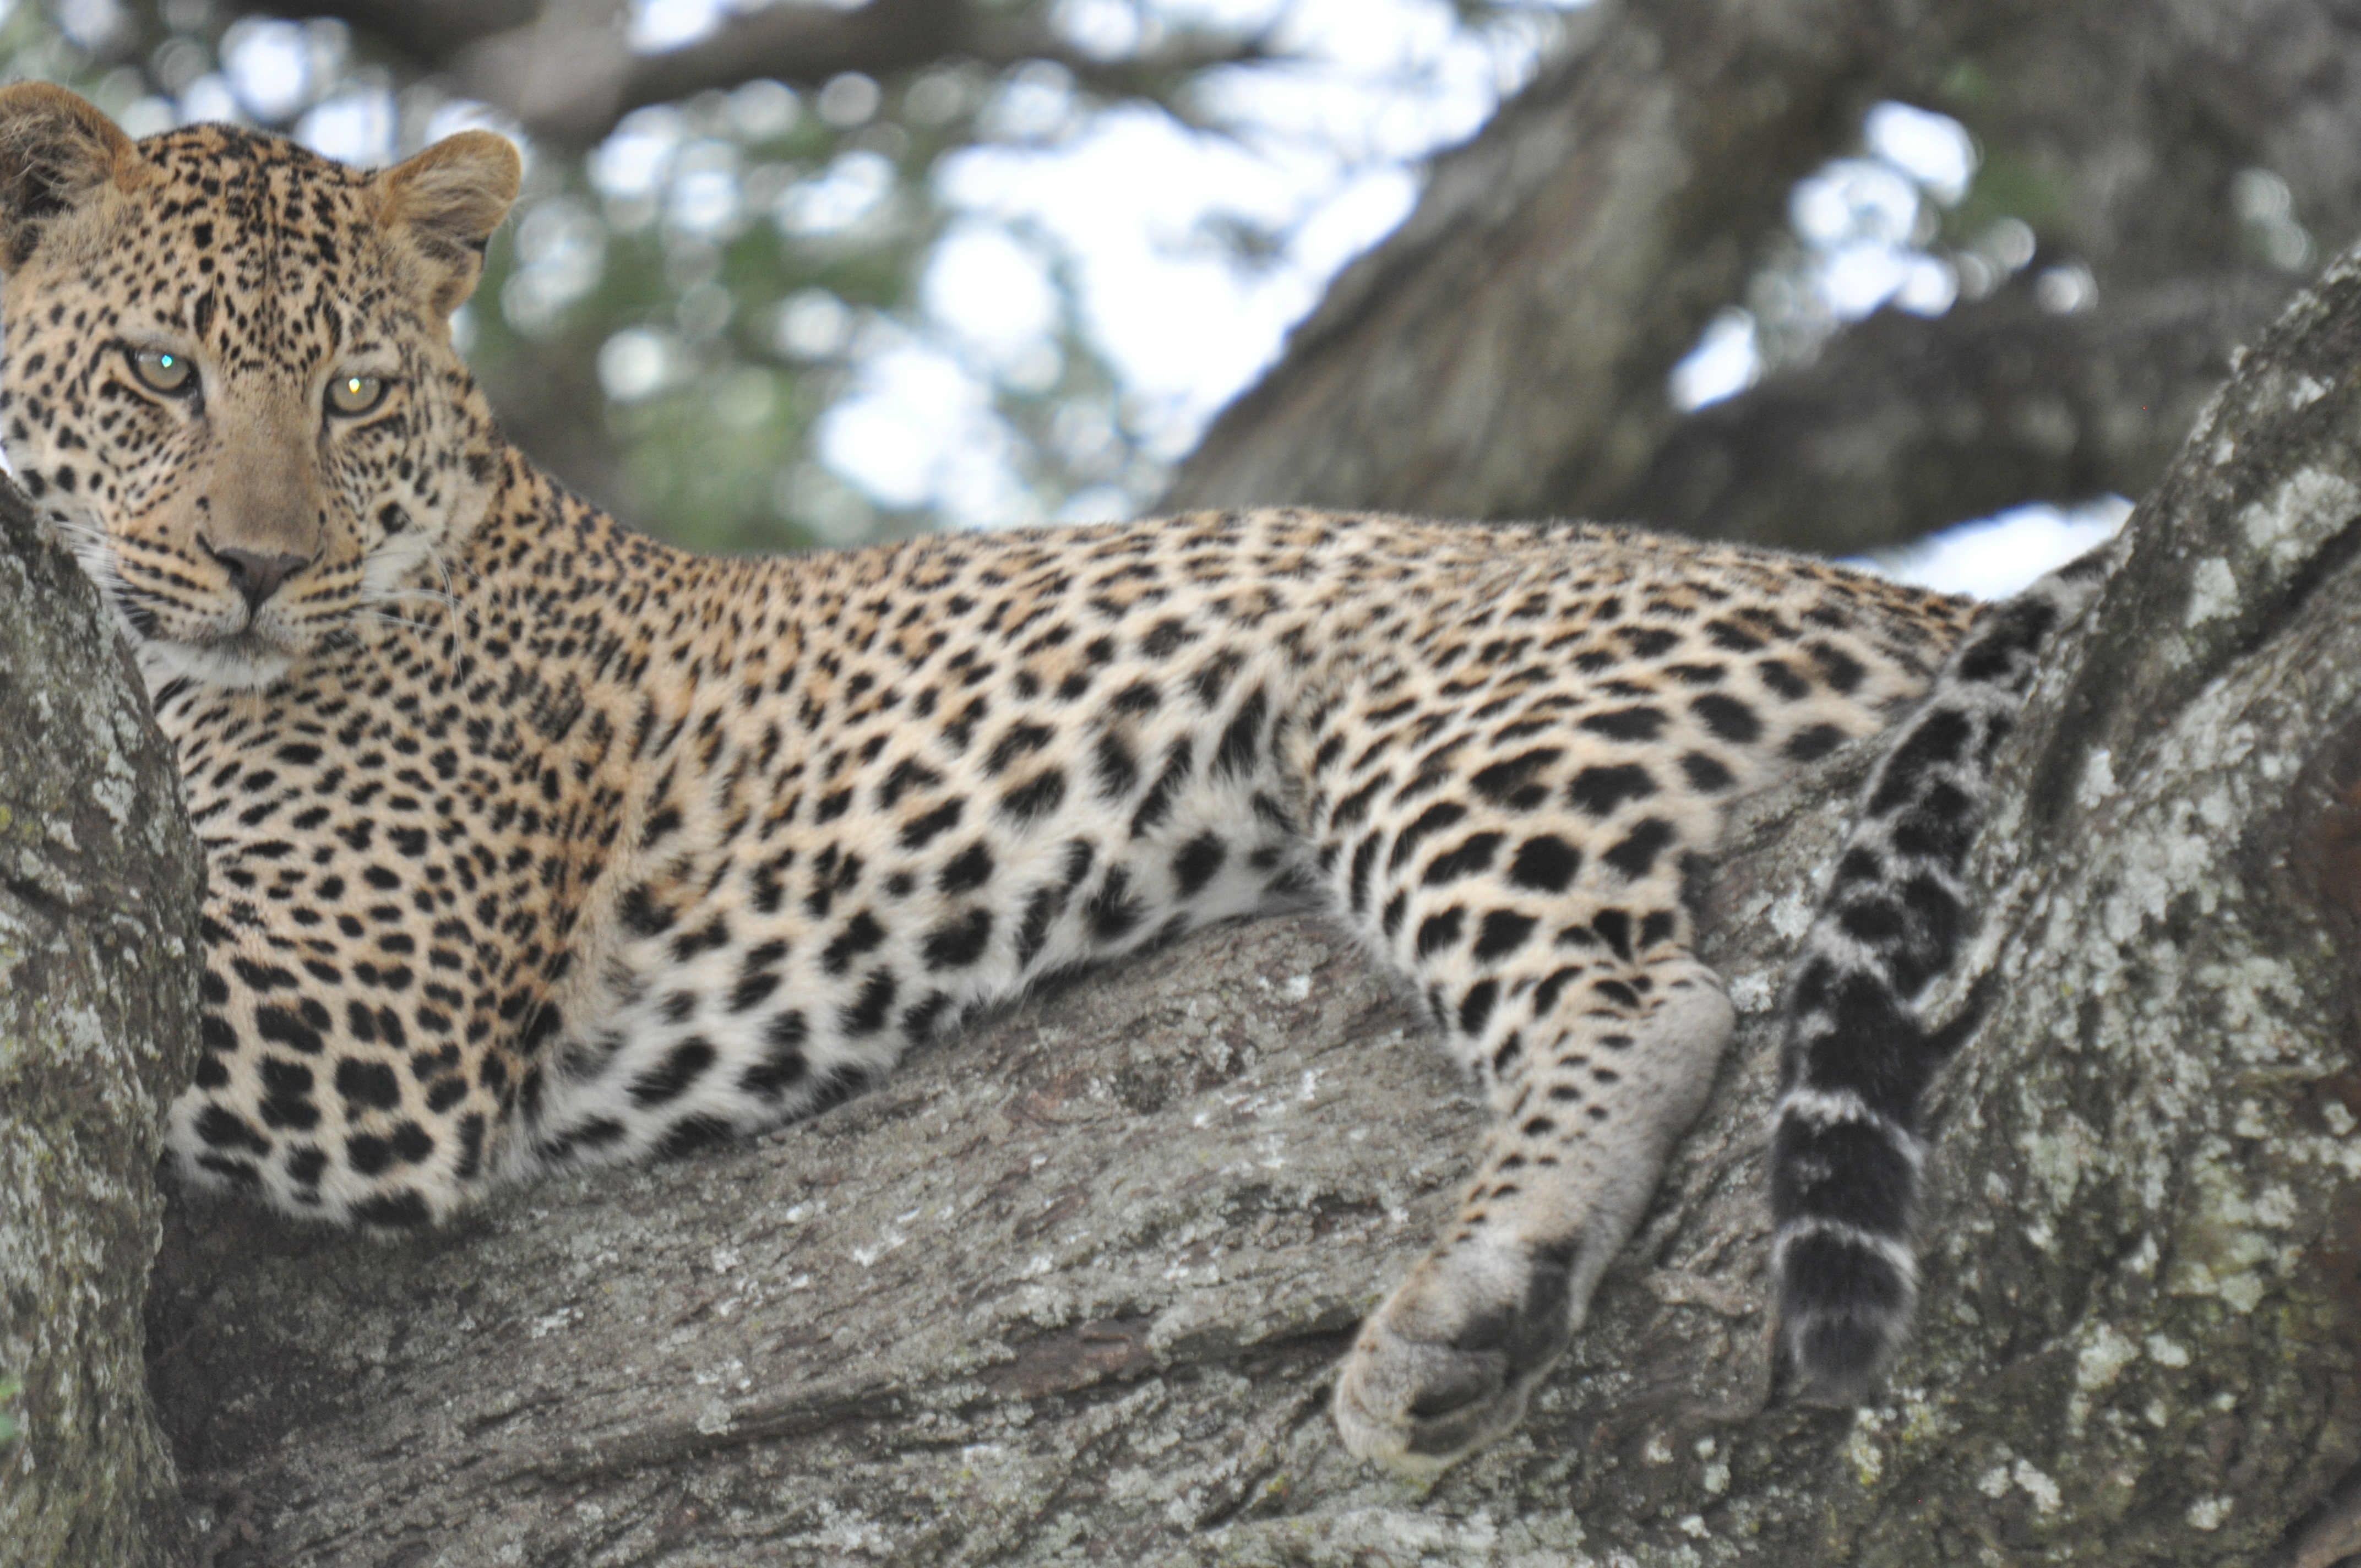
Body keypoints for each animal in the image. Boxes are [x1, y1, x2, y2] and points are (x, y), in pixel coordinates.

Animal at [0, 80, 2112, 1476]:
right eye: (163, 371)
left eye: (352, 391)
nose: (263, 565)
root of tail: (1886, 578)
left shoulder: (382, 1022)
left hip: (1433, 712)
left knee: (1638, 985)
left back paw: (1472, 1296)